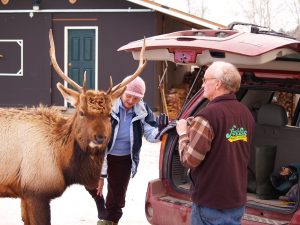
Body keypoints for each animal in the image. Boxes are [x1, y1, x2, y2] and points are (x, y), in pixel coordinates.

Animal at [0, 29, 146, 225]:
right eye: (82, 112)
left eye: (109, 114)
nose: (100, 137)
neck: (62, 162)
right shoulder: (36, 192)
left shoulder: (25, 195)